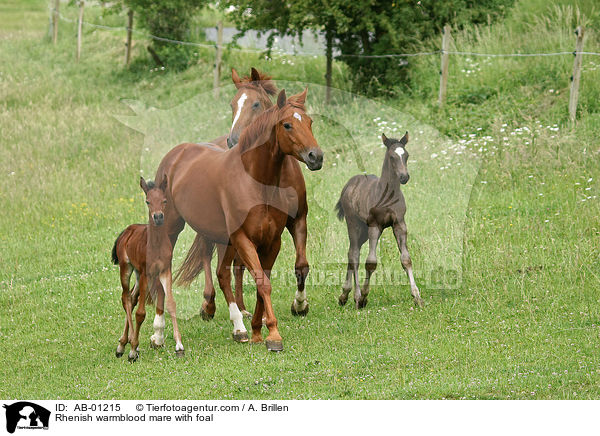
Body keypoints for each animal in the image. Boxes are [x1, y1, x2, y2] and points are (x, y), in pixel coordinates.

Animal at [110, 175, 180, 360]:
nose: (158, 217)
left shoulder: (165, 271)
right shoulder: (145, 273)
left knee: (132, 298)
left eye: (164, 200)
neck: (156, 246)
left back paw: (124, 343)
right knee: (126, 298)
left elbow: (171, 303)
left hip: (136, 273)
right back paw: (125, 345)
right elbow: (141, 313)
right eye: (147, 201)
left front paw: (179, 346)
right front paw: (133, 349)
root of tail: (126, 231)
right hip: (127, 268)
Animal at [336, 131, 424, 308]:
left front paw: (417, 296)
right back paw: (355, 295)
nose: (404, 177)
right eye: (391, 156)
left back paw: (344, 295)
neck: (387, 194)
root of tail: (349, 184)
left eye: (406, 155)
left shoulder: (399, 224)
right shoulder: (375, 226)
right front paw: (363, 296)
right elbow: (371, 261)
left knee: (351, 253)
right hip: (354, 224)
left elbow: (406, 259)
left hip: (363, 231)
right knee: (354, 255)